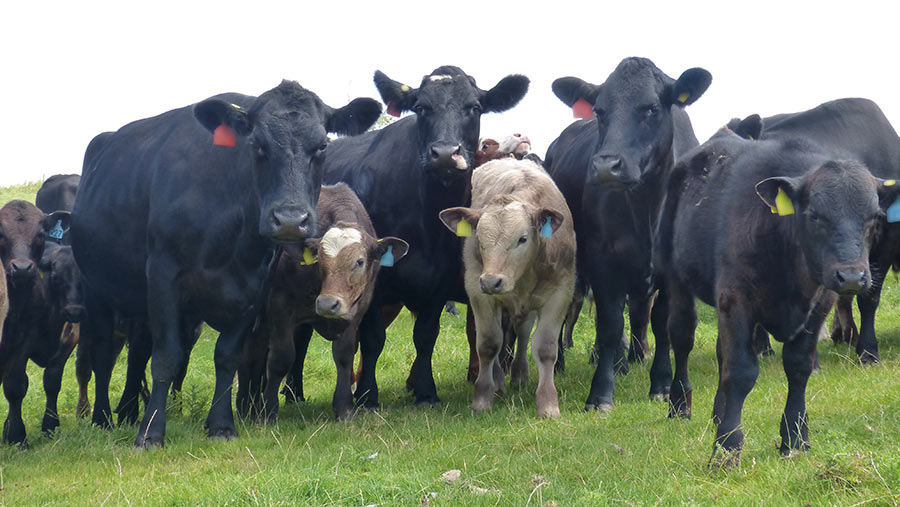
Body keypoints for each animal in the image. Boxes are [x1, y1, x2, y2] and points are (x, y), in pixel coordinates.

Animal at [70, 80, 380, 448]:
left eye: (321, 146)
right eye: (257, 145)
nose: (290, 220)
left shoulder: (255, 288)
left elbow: (228, 356)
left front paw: (220, 424)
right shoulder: (163, 276)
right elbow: (167, 357)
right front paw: (151, 432)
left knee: (137, 353)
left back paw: (129, 411)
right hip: (96, 291)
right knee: (104, 356)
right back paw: (103, 418)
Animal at [324, 68, 528, 408]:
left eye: (475, 107)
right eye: (421, 108)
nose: (445, 154)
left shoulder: (440, 281)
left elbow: (426, 335)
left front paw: (426, 391)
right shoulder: (375, 277)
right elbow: (373, 338)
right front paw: (367, 396)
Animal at [540, 57, 712, 410]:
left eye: (651, 108)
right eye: (600, 111)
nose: (607, 166)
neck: (647, 206)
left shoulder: (670, 271)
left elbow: (661, 324)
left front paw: (661, 383)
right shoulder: (603, 259)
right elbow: (608, 324)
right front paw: (600, 393)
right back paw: (563, 362)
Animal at [652, 129, 900, 466]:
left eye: (875, 217)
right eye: (815, 216)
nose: (851, 276)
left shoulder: (819, 304)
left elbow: (798, 367)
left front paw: (794, 437)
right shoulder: (736, 298)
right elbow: (741, 371)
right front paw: (727, 447)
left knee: (720, 352)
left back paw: (718, 412)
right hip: (675, 276)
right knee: (682, 338)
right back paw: (679, 404)